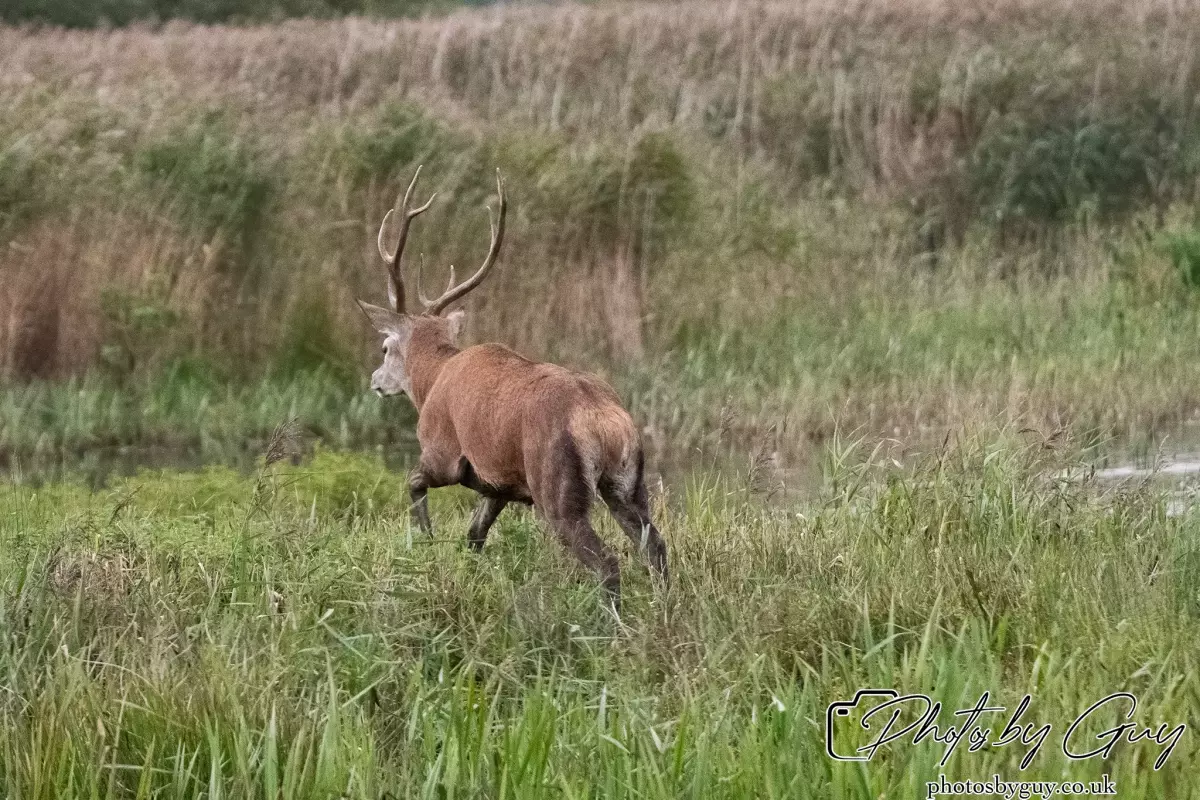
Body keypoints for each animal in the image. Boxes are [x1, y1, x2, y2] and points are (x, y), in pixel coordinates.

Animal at [357, 167, 668, 608]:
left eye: (385, 347)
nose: (375, 382)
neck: (431, 379)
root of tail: (604, 423)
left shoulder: (443, 451)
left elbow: (413, 481)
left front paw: (425, 540)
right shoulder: (497, 481)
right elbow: (474, 534)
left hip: (558, 485)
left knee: (606, 559)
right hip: (628, 481)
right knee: (653, 545)